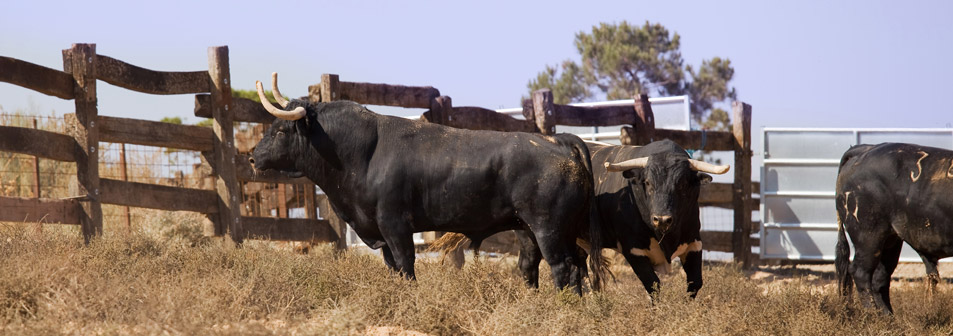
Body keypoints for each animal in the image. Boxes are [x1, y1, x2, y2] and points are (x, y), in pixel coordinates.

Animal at [832, 142, 952, 312]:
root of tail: (865, 149)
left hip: (890, 240)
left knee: (880, 278)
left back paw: (887, 317)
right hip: (868, 237)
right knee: (861, 273)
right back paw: (872, 315)